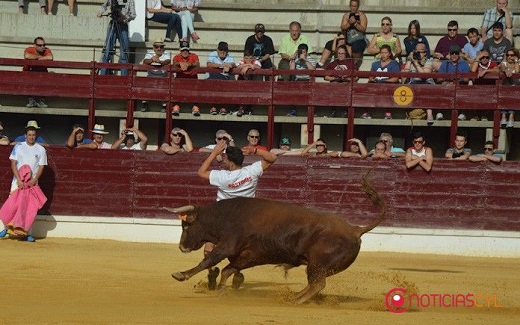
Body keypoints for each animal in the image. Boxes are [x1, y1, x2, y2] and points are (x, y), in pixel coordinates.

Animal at [167, 171, 386, 302]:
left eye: (186, 225)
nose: (182, 246)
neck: (225, 216)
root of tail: (355, 229)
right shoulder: (247, 255)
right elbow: (228, 270)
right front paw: (221, 291)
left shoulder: (228, 246)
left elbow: (208, 261)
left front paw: (181, 274)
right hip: (320, 266)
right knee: (314, 283)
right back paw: (294, 296)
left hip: (318, 264)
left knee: (318, 284)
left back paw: (296, 300)